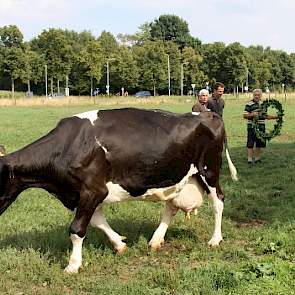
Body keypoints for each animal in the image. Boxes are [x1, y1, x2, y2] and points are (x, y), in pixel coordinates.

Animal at [0, 107, 238, 274]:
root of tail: (209, 114)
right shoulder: (81, 195)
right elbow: (98, 222)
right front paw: (120, 244)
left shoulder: (93, 190)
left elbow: (77, 229)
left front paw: (73, 265)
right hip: (179, 176)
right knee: (170, 206)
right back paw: (156, 240)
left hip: (209, 170)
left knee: (218, 202)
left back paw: (215, 239)